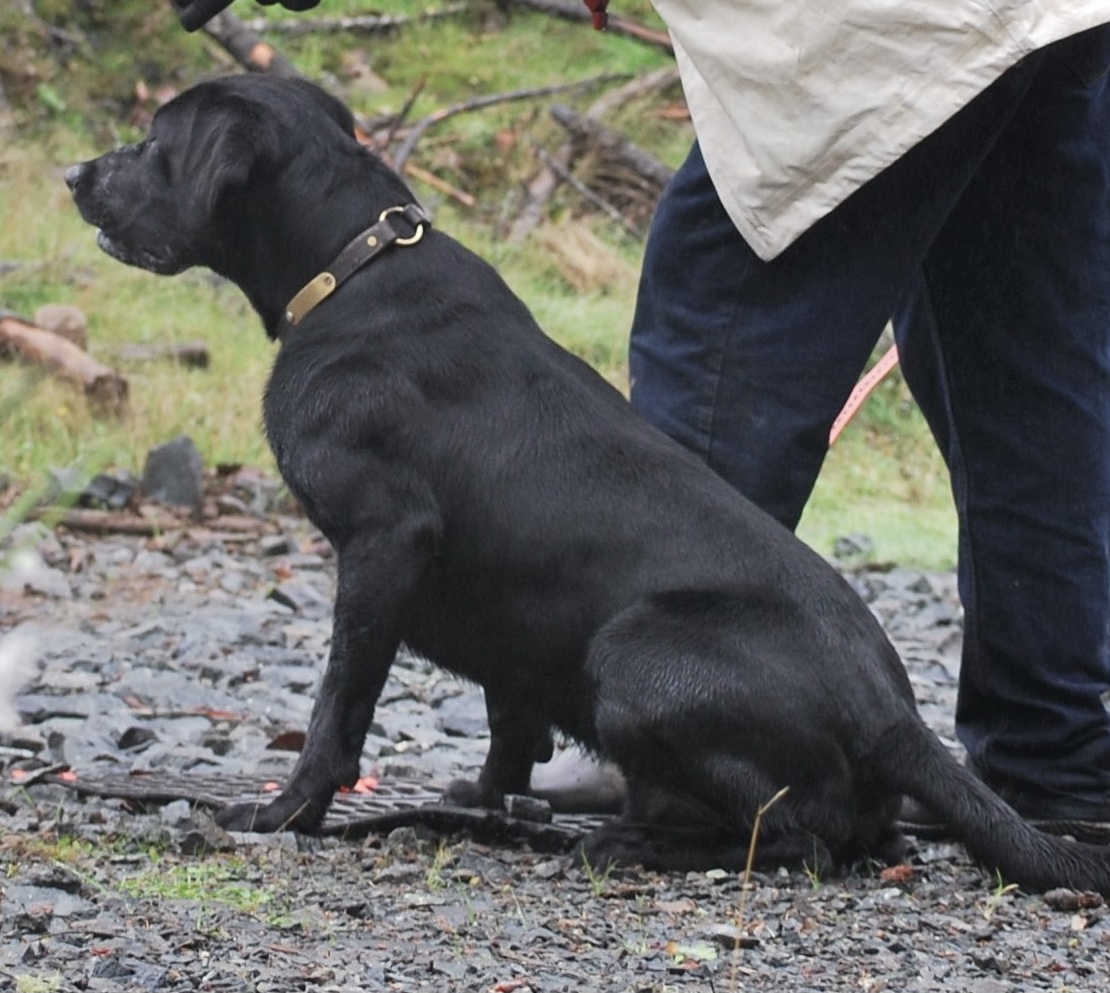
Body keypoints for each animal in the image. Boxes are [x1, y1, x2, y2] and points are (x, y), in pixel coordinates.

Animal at [67, 73, 1110, 887]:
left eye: (154, 143)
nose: (73, 175)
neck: (350, 269)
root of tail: (896, 717)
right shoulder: (505, 611)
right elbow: (505, 715)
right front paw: (488, 799)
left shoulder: (383, 544)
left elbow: (339, 706)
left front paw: (288, 811)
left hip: (634, 654)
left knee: (799, 836)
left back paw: (635, 842)